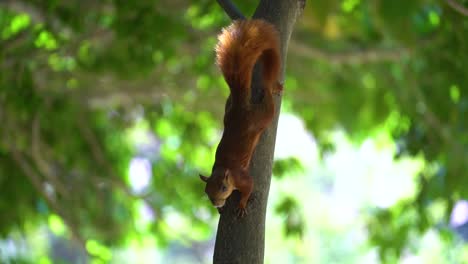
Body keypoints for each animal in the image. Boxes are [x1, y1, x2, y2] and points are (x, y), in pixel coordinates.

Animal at [198, 19, 282, 217]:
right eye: (206, 191)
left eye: (223, 188)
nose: (216, 203)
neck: (222, 168)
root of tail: (240, 106)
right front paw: (221, 210)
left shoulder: (241, 178)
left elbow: (249, 188)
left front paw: (242, 205)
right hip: (227, 113)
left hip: (262, 116)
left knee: (269, 104)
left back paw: (272, 88)